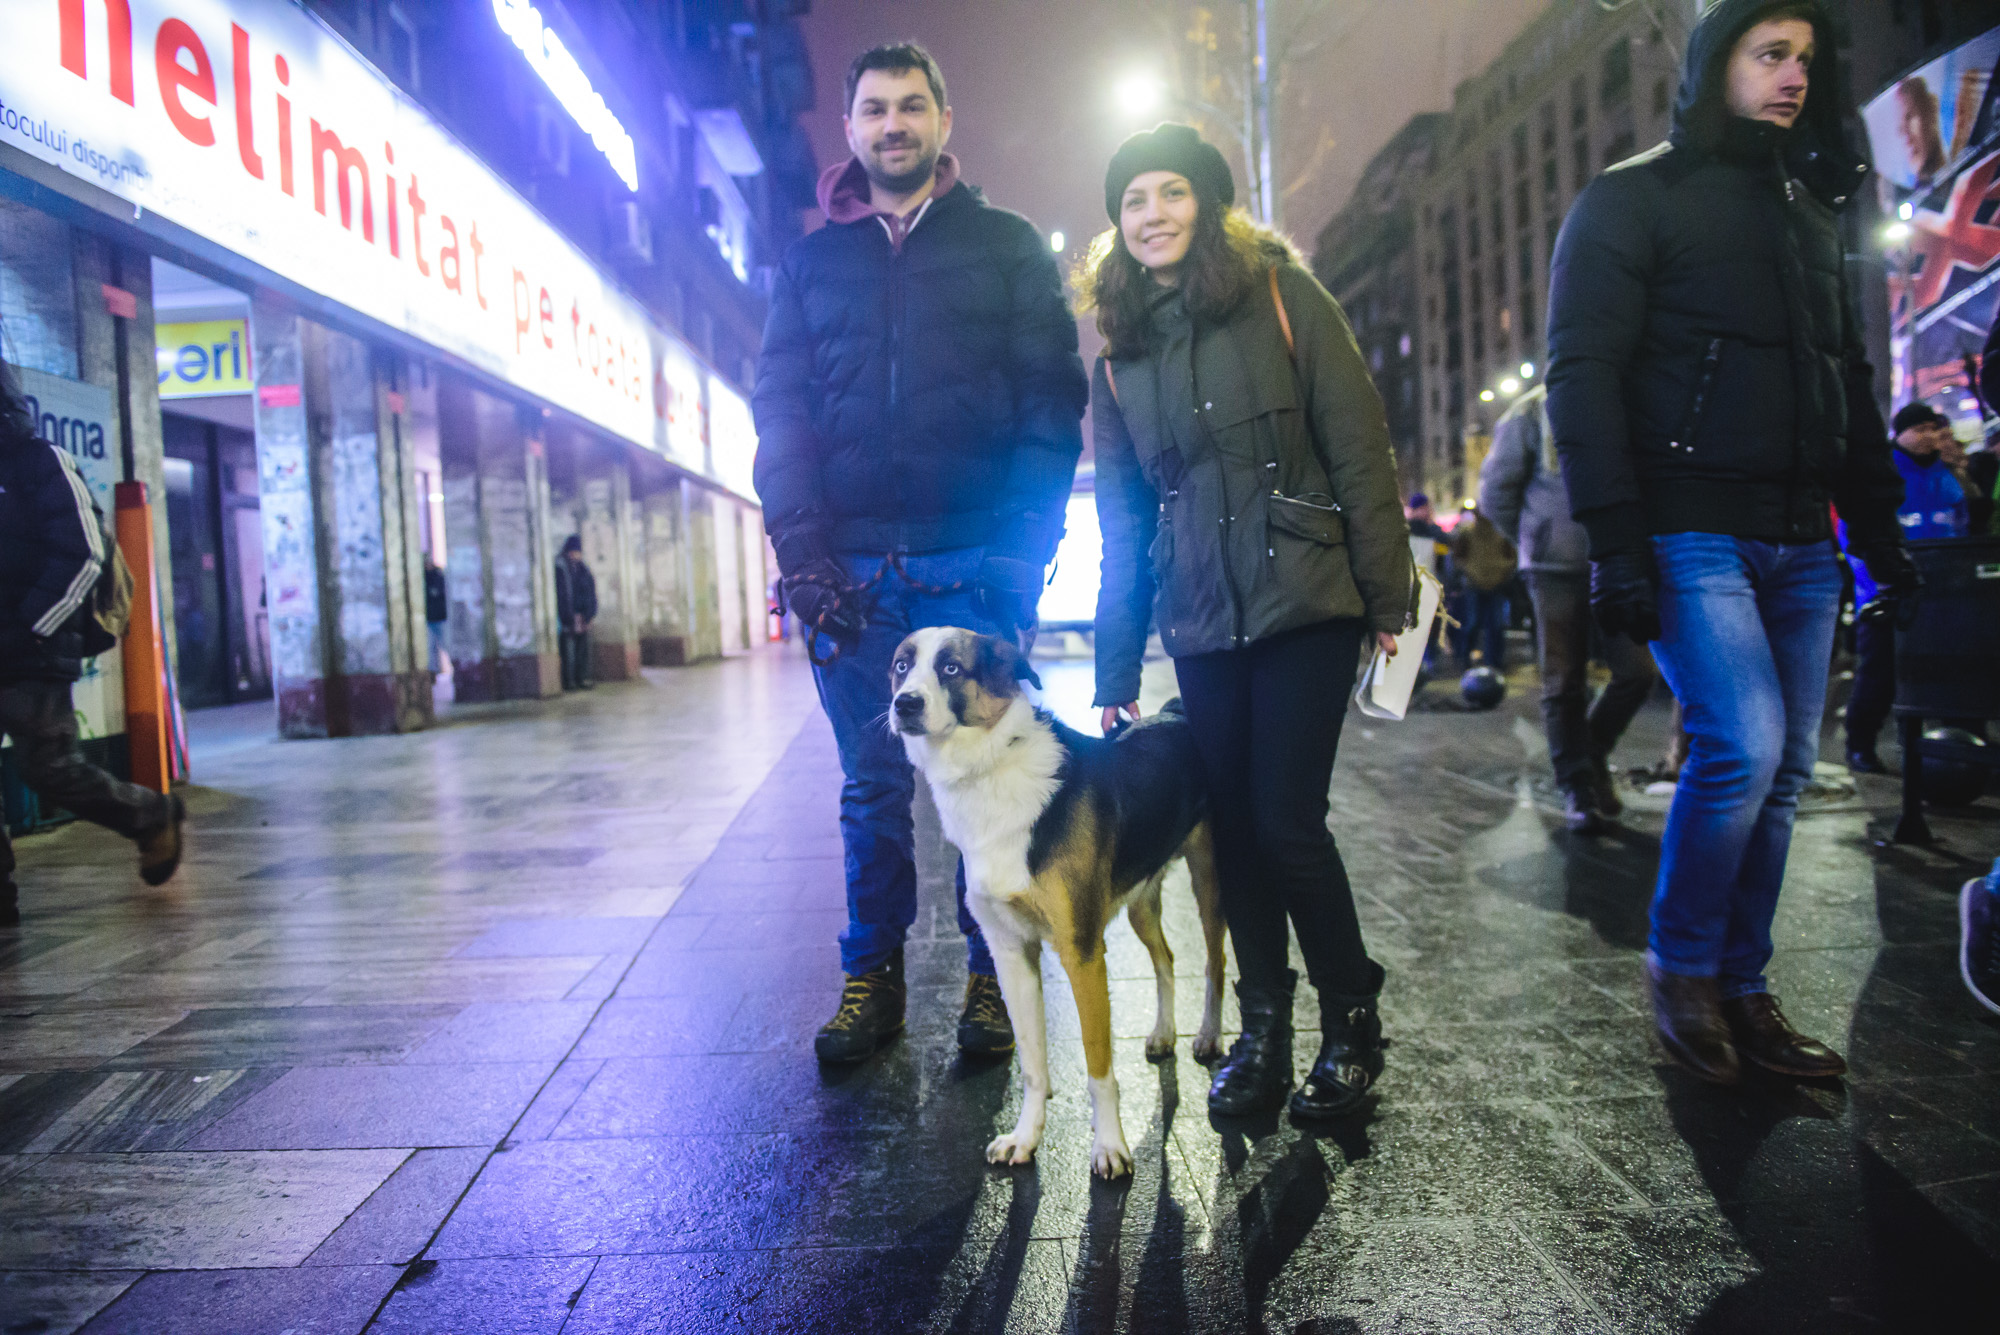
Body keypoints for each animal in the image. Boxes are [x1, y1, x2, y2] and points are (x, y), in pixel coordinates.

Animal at [896, 627, 1232, 1175]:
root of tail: (1176, 711)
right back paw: (1165, 1032)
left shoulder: (1082, 952)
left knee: (1215, 962)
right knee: (1166, 958)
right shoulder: (1011, 954)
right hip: (1140, 901)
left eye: (951, 668)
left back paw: (1207, 1036)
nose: (903, 704)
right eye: (901, 666)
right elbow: (1033, 1066)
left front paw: (1109, 1147)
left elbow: (1099, 1067)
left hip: (1210, 879)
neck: (989, 768)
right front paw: (1025, 1137)